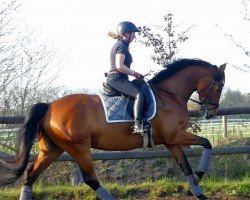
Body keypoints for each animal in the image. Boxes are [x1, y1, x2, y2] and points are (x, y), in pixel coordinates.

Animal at [0, 58, 227, 199]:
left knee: (31, 175)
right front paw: (198, 179)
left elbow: (186, 166)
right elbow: (207, 143)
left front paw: (197, 191)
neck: (169, 96)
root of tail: (49, 106)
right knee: (90, 179)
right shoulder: (176, 136)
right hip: (79, 148)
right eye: (218, 86)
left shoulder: (171, 142)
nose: (212, 113)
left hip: (52, 149)